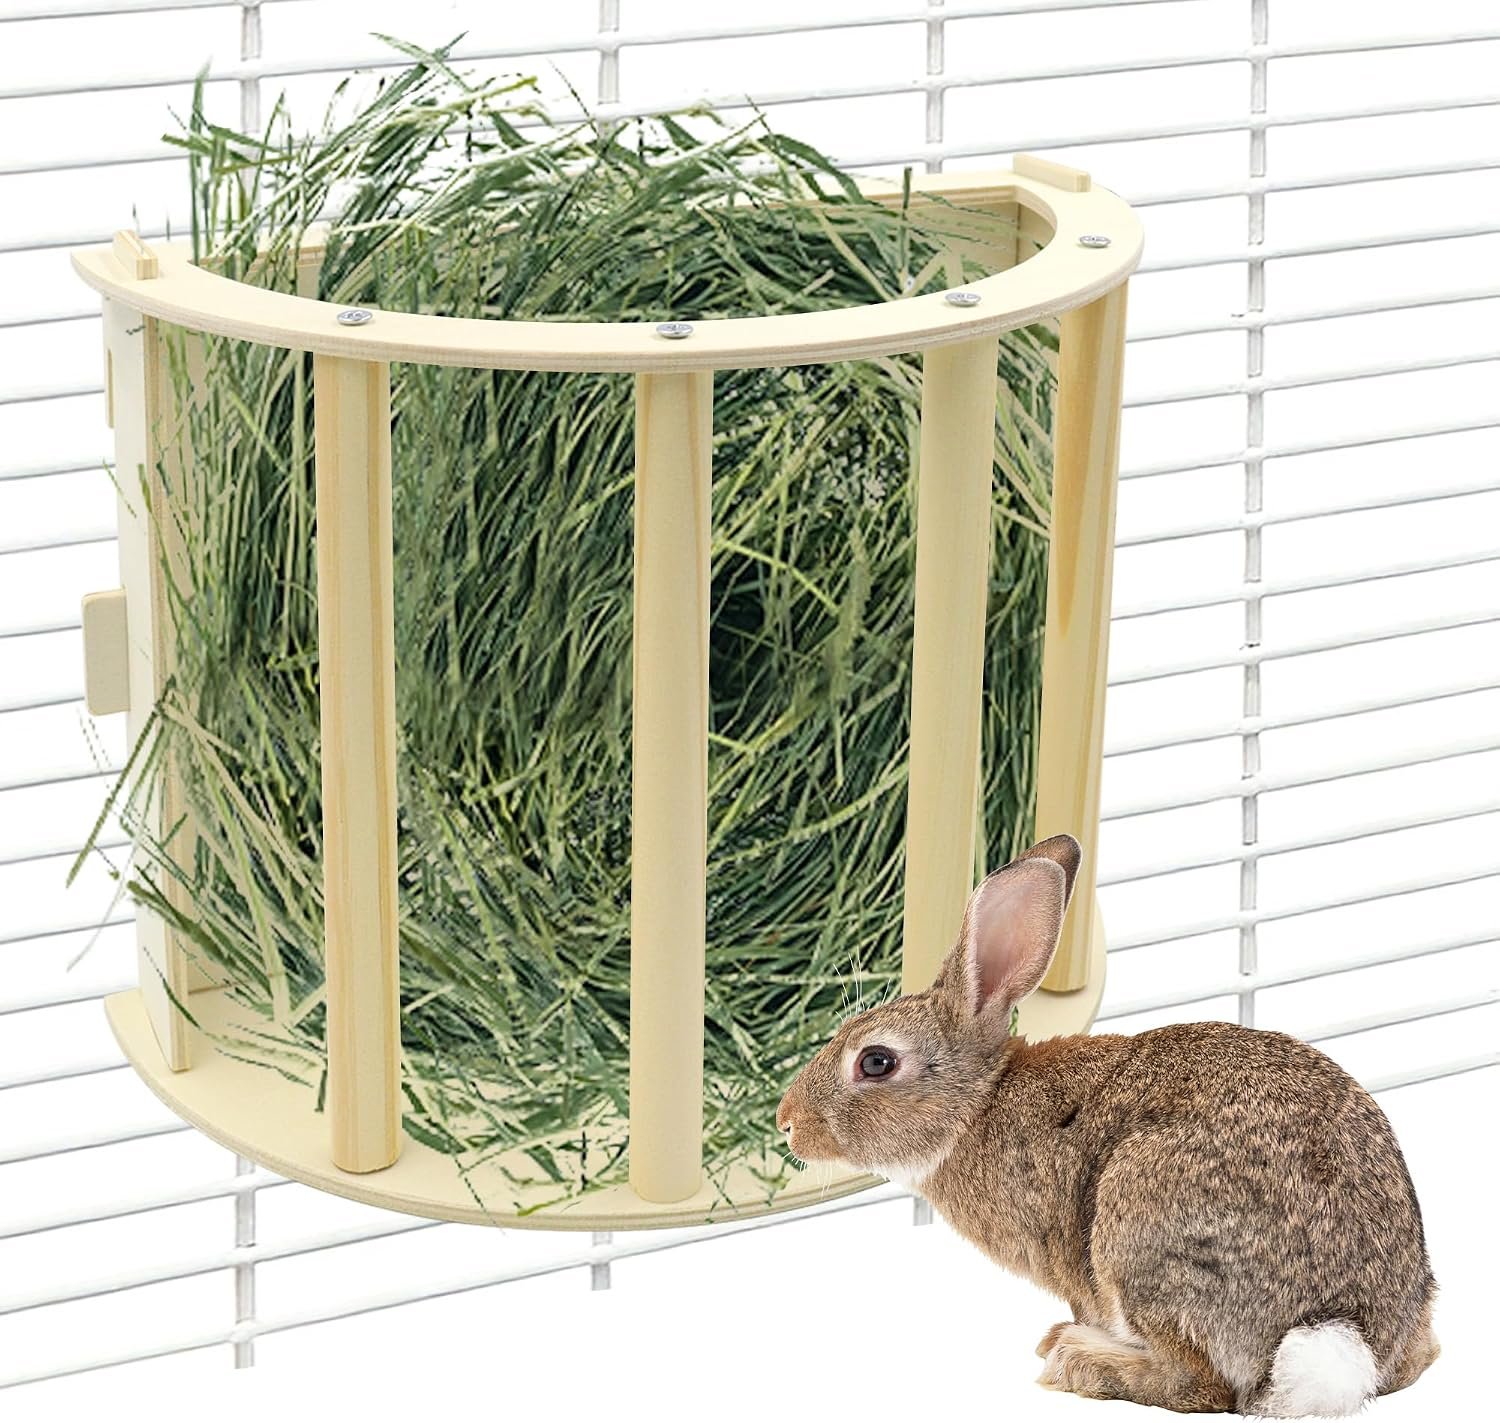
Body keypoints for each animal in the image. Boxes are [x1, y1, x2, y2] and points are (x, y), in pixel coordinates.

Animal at [777, 834, 1439, 1416]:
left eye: (876, 1062)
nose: (787, 1123)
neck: (979, 1105)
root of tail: (1342, 1329)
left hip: (1136, 1227)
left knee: (1202, 1386)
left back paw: (1078, 1358)